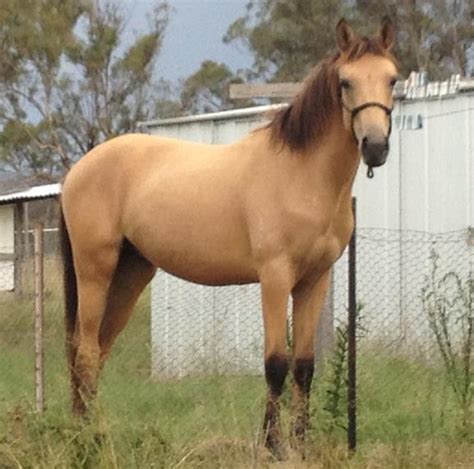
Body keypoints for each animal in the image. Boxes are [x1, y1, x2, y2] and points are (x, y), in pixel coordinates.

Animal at [61, 19, 398, 458]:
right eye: (346, 82)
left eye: (392, 79)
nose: (375, 148)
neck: (302, 175)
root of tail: (77, 170)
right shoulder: (275, 278)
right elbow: (275, 363)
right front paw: (273, 445)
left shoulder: (314, 280)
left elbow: (304, 366)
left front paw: (302, 445)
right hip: (95, 271)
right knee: (85, 353)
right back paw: (89, 442)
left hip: (131, 273)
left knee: (98, 351)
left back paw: (90, 433)